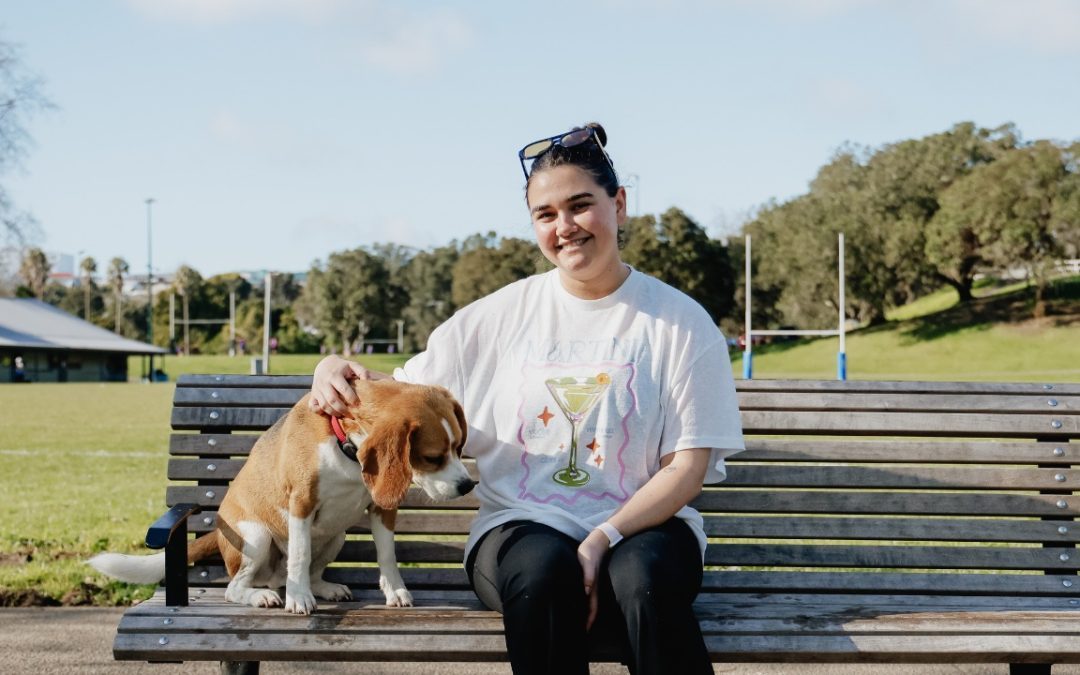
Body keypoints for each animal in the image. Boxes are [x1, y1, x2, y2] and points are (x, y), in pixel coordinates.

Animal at [93, 380, 477, 609]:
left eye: (459, 446)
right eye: (432, 457)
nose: (467, 485)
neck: (346, 450)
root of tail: (217, 531)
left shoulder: (382, 508)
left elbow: (387, 555)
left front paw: (395, 590)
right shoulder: (301, 504)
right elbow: (300, 555)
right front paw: (299, 599)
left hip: (336, 536)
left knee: (307, 570)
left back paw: (322, 588)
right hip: (257, 537)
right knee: (237, 587)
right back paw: (264, 595)